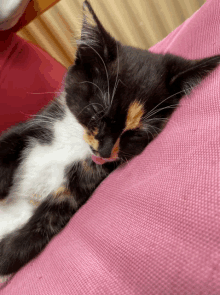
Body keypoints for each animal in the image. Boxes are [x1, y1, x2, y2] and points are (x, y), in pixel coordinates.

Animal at [0, 0, 220, 278]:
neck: (75, 142)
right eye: (97, 113)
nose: (105, 152)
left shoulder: (85, 181)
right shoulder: (43, 120)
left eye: (134, 134)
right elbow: (10, 139)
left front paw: (6, 256)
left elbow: (51, 218)